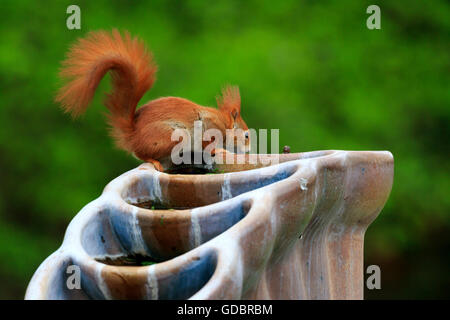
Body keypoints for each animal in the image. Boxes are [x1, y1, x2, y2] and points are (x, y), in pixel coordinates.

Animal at [56, 29, 250, 172]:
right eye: (246, 135)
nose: (248, 151)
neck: (223, 123)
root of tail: (133, 136)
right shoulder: (208, 128)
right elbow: (207, 144)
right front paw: (218, 149)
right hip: (173, 137)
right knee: (142, 154)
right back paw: (154, 161)